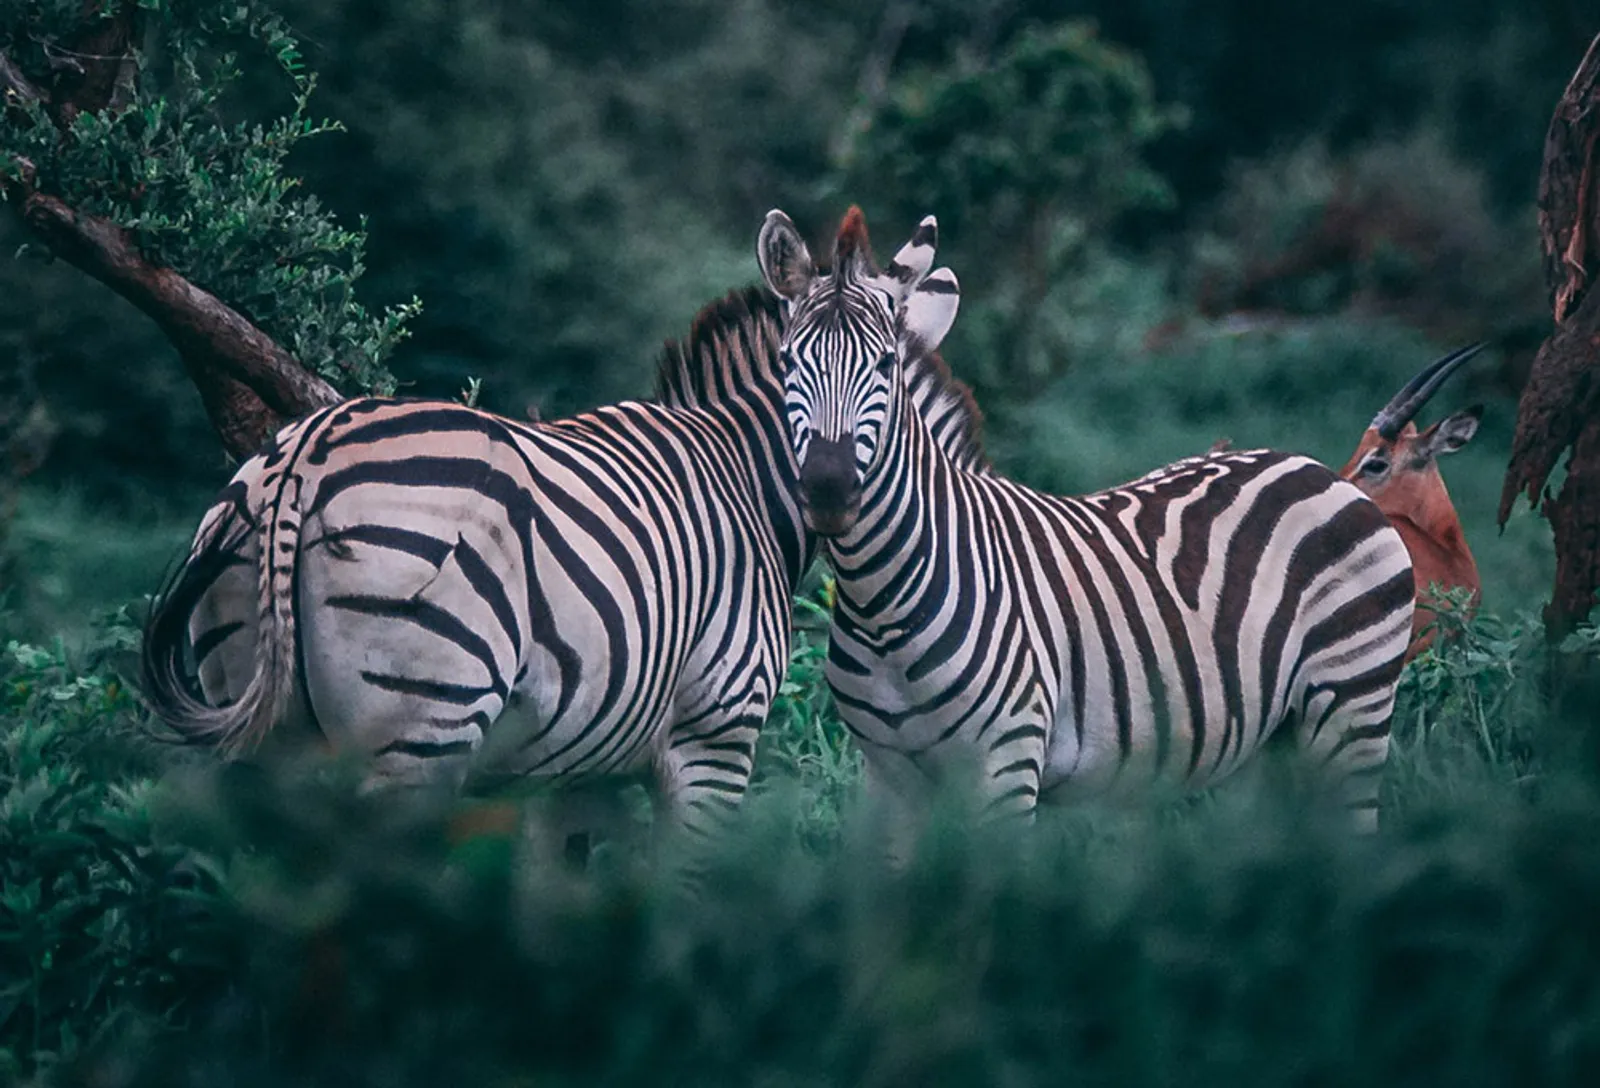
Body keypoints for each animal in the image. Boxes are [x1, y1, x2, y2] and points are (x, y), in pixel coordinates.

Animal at [140, 283, 985, 838]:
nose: (831, 490)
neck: (746, 478)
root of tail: (305, 454)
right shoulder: (715, 735)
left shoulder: (580, 766)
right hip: (421, 727)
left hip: (259, 712)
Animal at [755, 206, 1420, 851]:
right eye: (786, 361)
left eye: (886, 364)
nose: (829, 490)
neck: (883, 606)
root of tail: (1314, 468)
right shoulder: (890, 780)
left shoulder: (1007, 765)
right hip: (1267, 742)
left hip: (1352, 707)